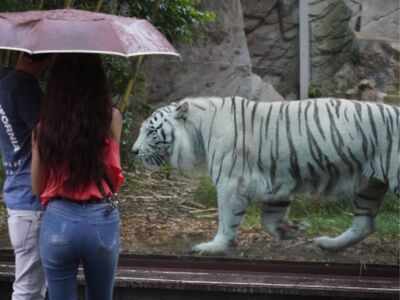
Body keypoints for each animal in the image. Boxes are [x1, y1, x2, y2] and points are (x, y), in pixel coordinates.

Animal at [133, 96, 398, 253]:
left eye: (150, 131)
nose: (134, 151)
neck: (198, 130)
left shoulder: (230, 182)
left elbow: (226, 218)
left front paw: (215, 245)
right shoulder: (278, 180)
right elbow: (270, 219)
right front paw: (290, 230)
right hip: (369, 185)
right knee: (364, 224)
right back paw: (328, 244)